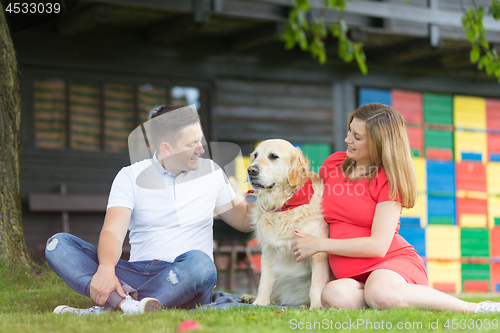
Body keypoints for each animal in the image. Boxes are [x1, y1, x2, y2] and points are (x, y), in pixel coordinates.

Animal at [244, 139, 330, 308]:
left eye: (273, 156)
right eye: (255, 155)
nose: (251, 170)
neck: (283, 204)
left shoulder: (318, 253)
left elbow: (315, 286)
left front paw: (317, 308)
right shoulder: (269, 252)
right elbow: (264, 282)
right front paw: (259, 304)